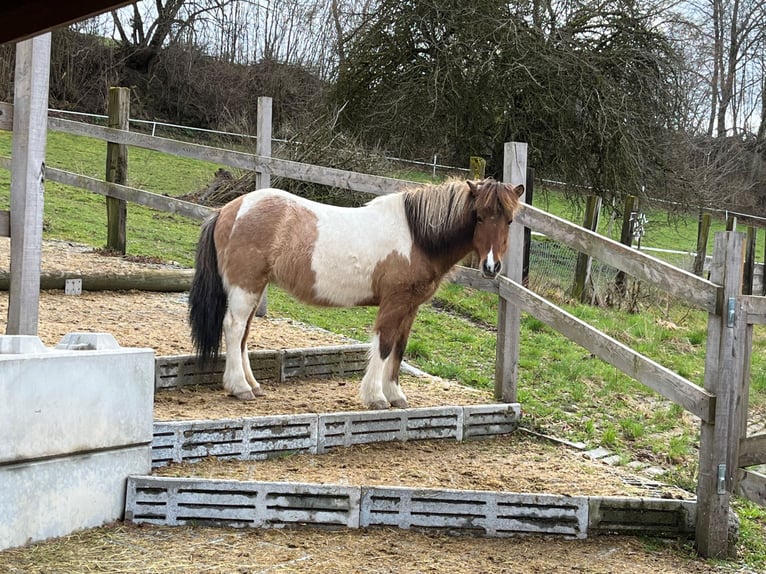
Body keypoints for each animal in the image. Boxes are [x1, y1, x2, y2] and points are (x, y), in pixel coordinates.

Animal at [188, 178, 524, 409]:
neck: (416, 238)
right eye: (479, 216)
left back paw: (252, 384)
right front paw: (376, 397)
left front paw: (395, 395)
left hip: (253, 288)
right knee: (233, 328)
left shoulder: (410, 306)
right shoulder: (394, 302)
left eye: (509, 220)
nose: (492, 266)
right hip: (245, 286)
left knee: (243, 334)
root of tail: (229, 209)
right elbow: (384, 345)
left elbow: (399, 349)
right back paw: (239, 387)